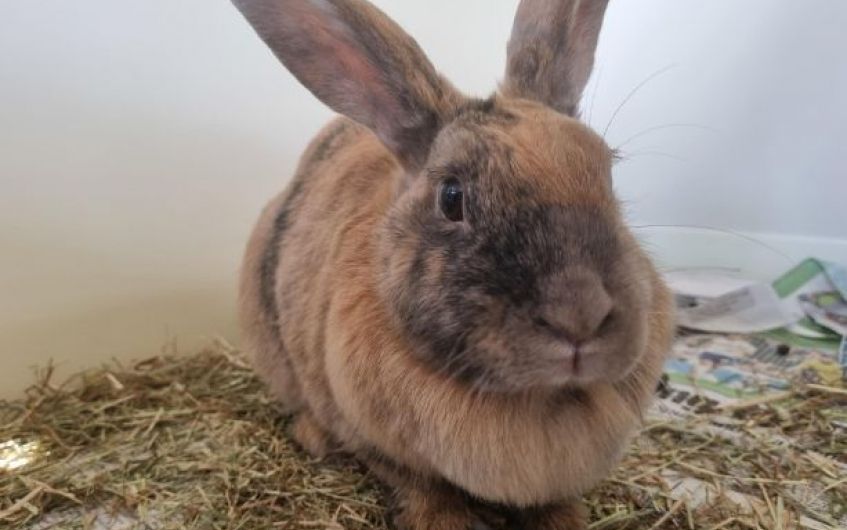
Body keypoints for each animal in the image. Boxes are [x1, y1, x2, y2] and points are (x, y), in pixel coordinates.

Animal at [233, 0, 675, 528]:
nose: (580, 316)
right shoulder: (374, 438)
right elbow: (422, 486)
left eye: (606, 173)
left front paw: (564, 519)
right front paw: (446, 520)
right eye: (451, 197)